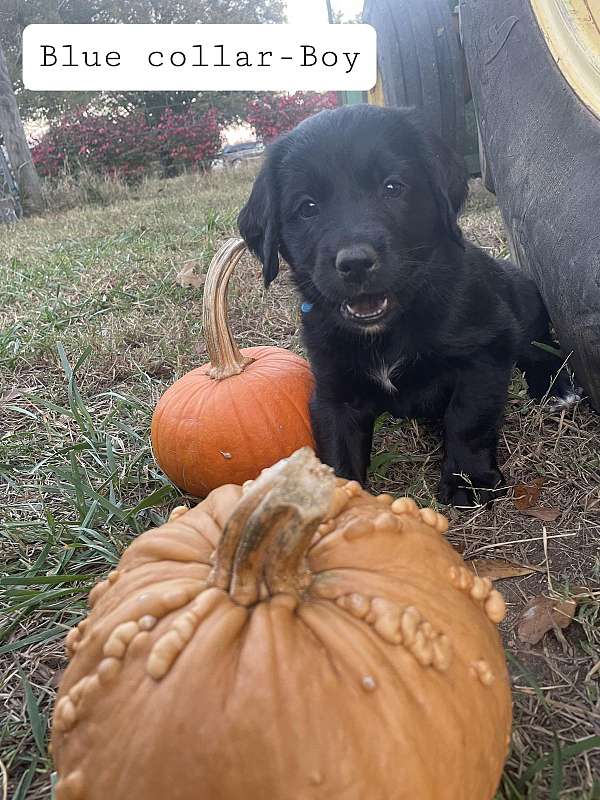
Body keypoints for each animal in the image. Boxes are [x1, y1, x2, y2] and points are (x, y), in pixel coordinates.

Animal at [237, 104, 576, 506]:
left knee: (542, 348)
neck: (393, 324)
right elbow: (337, 451)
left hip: (520, 309)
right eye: (308, 207)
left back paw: (557, 390)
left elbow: (468, 419)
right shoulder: (333, 392)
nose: (355, 263)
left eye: (392, 187)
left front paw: (468, 480)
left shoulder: (486, 351)